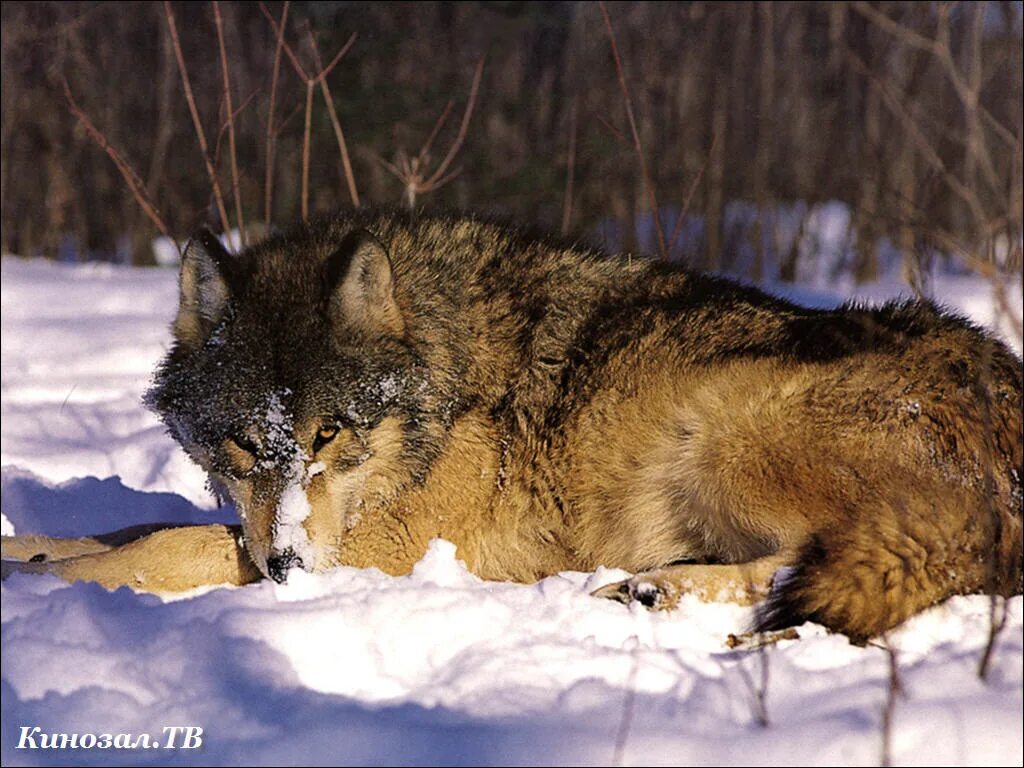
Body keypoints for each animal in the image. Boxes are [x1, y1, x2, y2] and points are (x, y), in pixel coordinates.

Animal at [2, 210, 1024, 643]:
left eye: (330, 435)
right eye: (247, 446)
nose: (288, 569)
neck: (446, 384)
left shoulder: (386, 549)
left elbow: (168, 544)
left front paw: (60, 584)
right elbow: (138, 524)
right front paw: (32, 550)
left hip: (721, 423)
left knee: (806, 559)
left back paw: (653, 593)